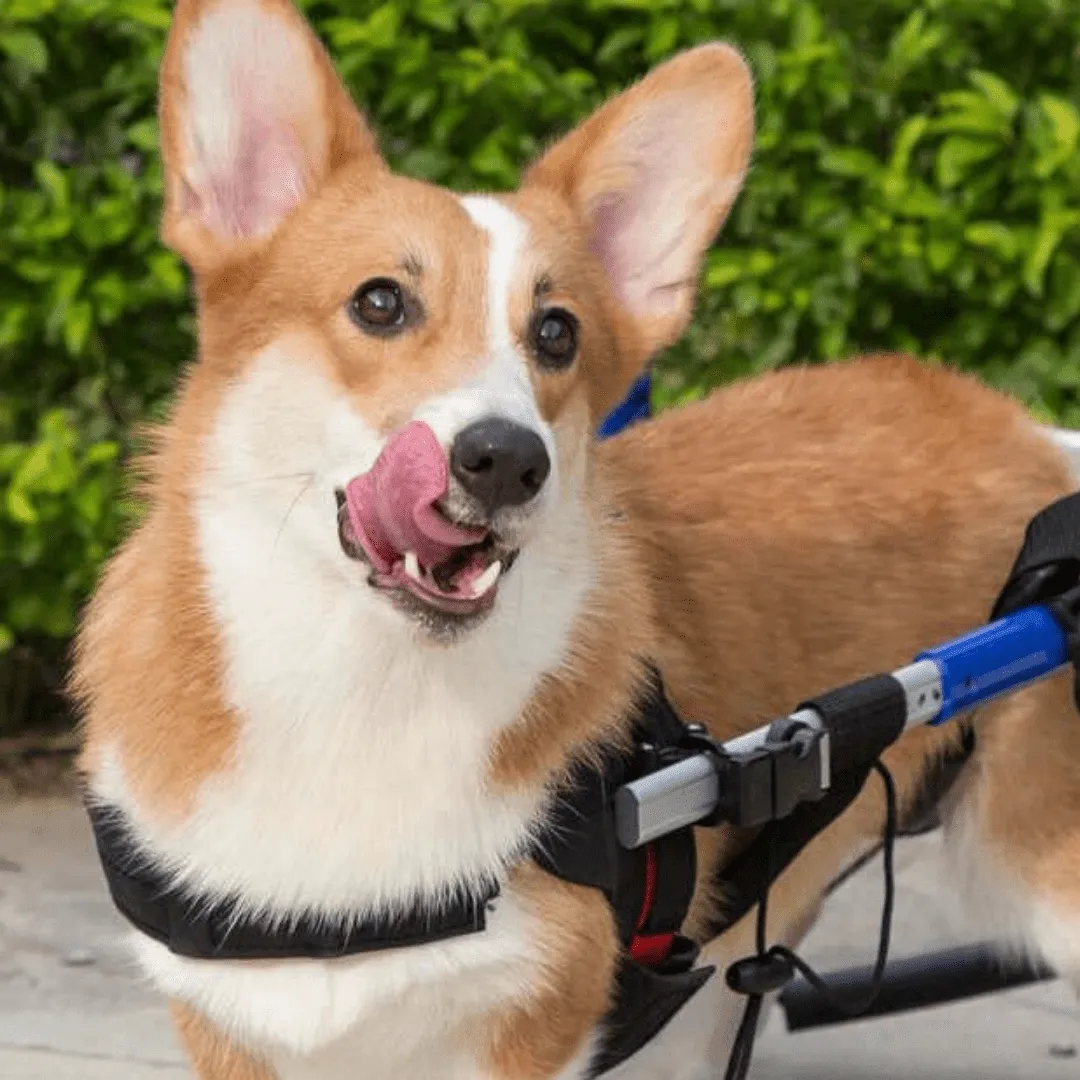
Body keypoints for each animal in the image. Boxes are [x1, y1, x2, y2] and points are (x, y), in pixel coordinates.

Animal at [73, 2, 1080, 1080]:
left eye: (556, 333)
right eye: (379, 302)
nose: (505, 460)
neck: (367, 689)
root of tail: (1030, 432)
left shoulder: (534, 1029)